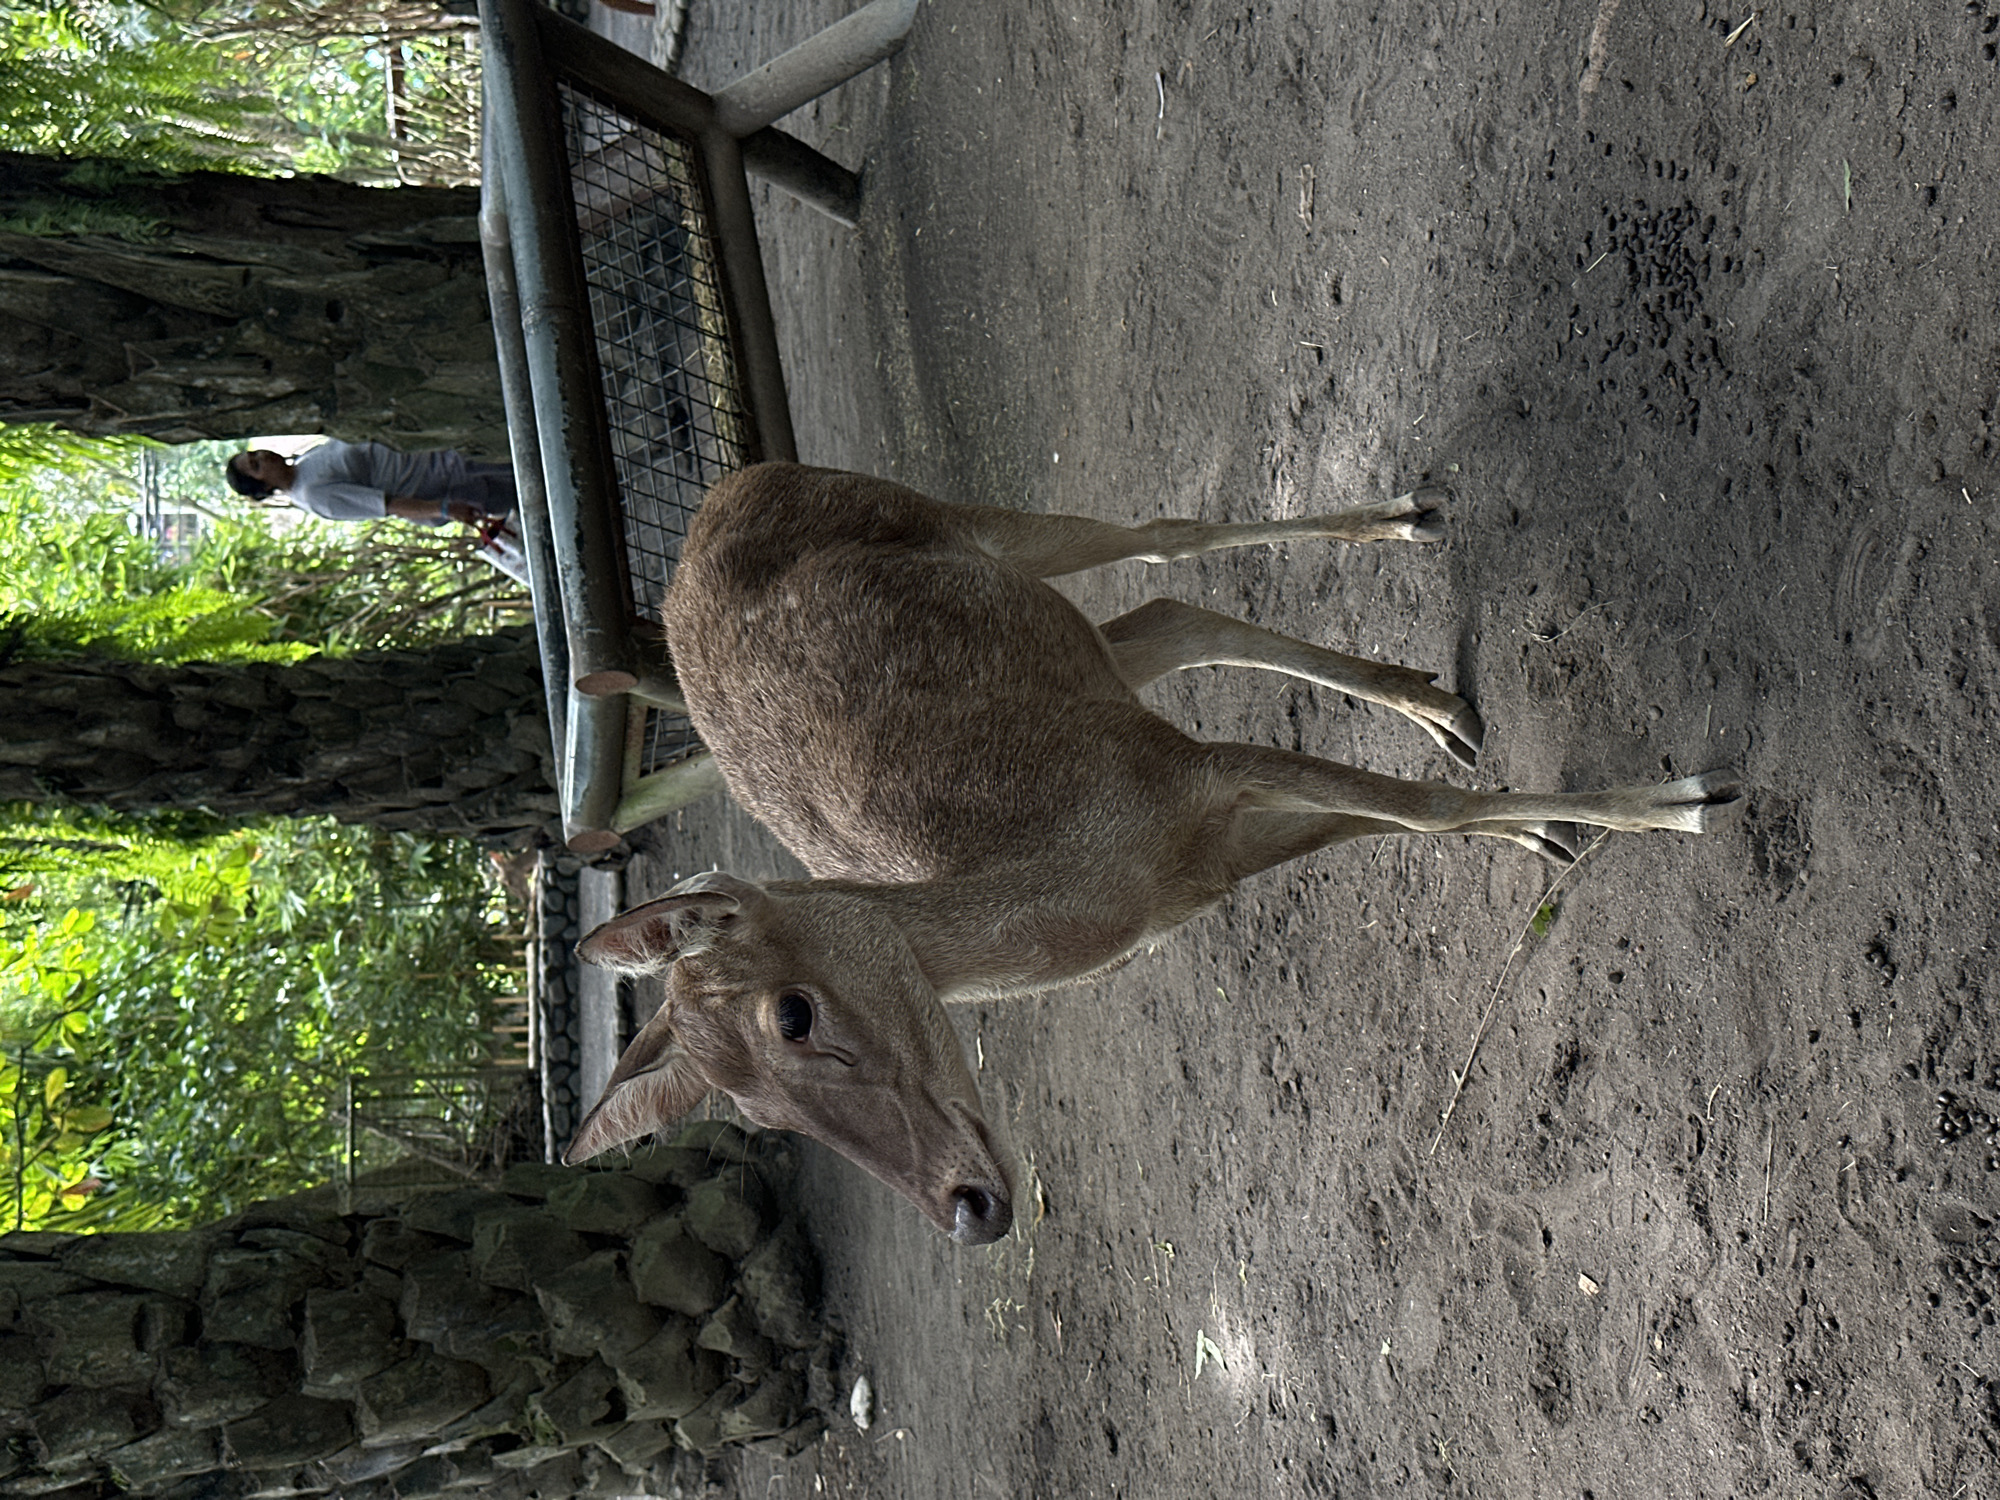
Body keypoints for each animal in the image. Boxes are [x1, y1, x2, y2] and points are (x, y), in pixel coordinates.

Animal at [566, 463, 1740, 1244]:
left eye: (794, 1015)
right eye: (756, 1116)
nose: (969, 1209)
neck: (1115, 879)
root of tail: (720, 492)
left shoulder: (1190, 771)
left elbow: (1426, 815)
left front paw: (1680, 802)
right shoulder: (1211, 842)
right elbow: (1413, 819)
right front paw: (1546, 830)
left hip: (949, 513)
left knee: (1162, 537)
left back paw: (1407, 520)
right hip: (1086, 653)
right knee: (1169, 614)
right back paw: (1439, 702)